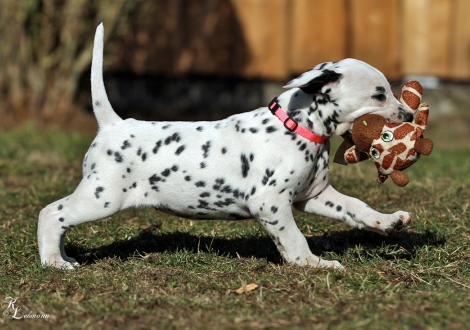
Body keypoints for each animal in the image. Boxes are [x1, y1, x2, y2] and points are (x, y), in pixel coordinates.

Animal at [37, 23, 412, 270]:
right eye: (380, 94)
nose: (410, 114)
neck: (296, 127)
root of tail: (114, 124)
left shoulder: (315, 196)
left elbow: (356, 208)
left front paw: (388, 221)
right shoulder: (271, 204)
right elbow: (294, 238)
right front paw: (310, 263)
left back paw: (62, 256)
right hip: (102, 197)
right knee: (51, 214)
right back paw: (54, 261)